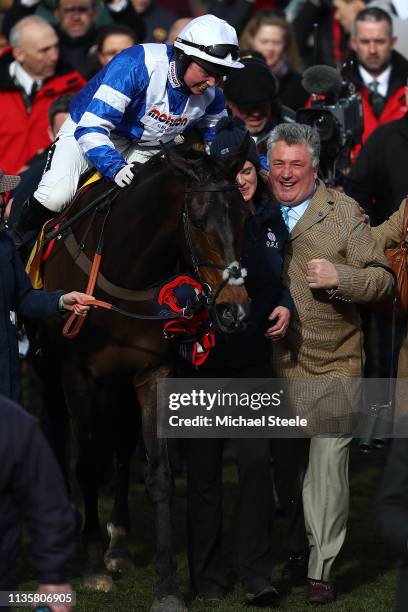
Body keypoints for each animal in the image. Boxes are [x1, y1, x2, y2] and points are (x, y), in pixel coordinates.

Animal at [37, 131, 249, 608]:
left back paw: (118, 542)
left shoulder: (152, 371)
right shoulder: (76, 374)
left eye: (244, 215)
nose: (234, 311)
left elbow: (158, 474)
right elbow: (87, 464)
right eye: (199, 221)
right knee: (58, 434)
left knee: (120, 445)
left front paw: (167, 586)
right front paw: (93, 567)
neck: (125, 268)